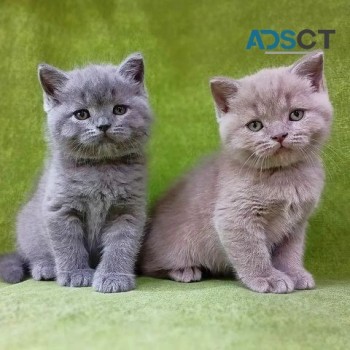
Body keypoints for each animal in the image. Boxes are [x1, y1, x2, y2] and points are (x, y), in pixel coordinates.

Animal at [0, 52, 153, 292]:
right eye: (81, 114)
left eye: (119, 109)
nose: (103, 125)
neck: (101, 168)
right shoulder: (60, 208)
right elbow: (68, 244)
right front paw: (75, 274)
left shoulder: (128, 210)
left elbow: (121, 244)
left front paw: (113, 276)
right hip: (28, 227)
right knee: (34, 252)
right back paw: (45, 267)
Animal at [140, 51, 334, 292]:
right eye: (255, 125)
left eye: (296, 115)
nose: (279, 135)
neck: (283, 176)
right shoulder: (235, 217)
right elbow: (252, 252)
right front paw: (268, 278)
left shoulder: (296, 225)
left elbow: (290, 253)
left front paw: (294, 273)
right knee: (150, 266)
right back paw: (185, 270)